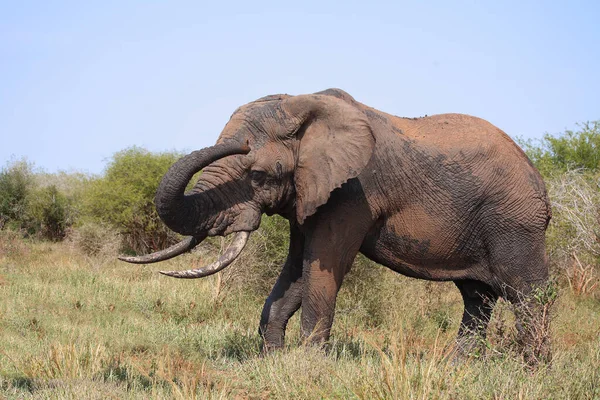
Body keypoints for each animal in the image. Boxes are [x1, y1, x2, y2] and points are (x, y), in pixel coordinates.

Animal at [119, 88, 552, 362]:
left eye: (258, 175)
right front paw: (273, 363)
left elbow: (323, 266)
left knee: (527, 295)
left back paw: (531, 373)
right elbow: (297, 270)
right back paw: (458, 370)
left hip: (515, 221)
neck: (304, 105)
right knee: (477, 298)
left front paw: (311, 367)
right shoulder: (309, 194)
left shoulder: (353, 190)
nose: (240, 143)